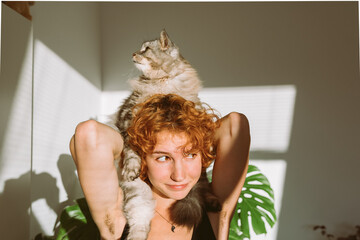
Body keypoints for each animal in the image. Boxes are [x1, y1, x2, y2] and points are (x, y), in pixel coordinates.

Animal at [113, 30, 219, 240]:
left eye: (145, 49)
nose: (133, 54)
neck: (161, 81)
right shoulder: (128, 122)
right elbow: (131, 152)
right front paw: (131, 167)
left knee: (203, 187)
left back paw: (212, 201)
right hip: (139, 197)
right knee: (140, 222)